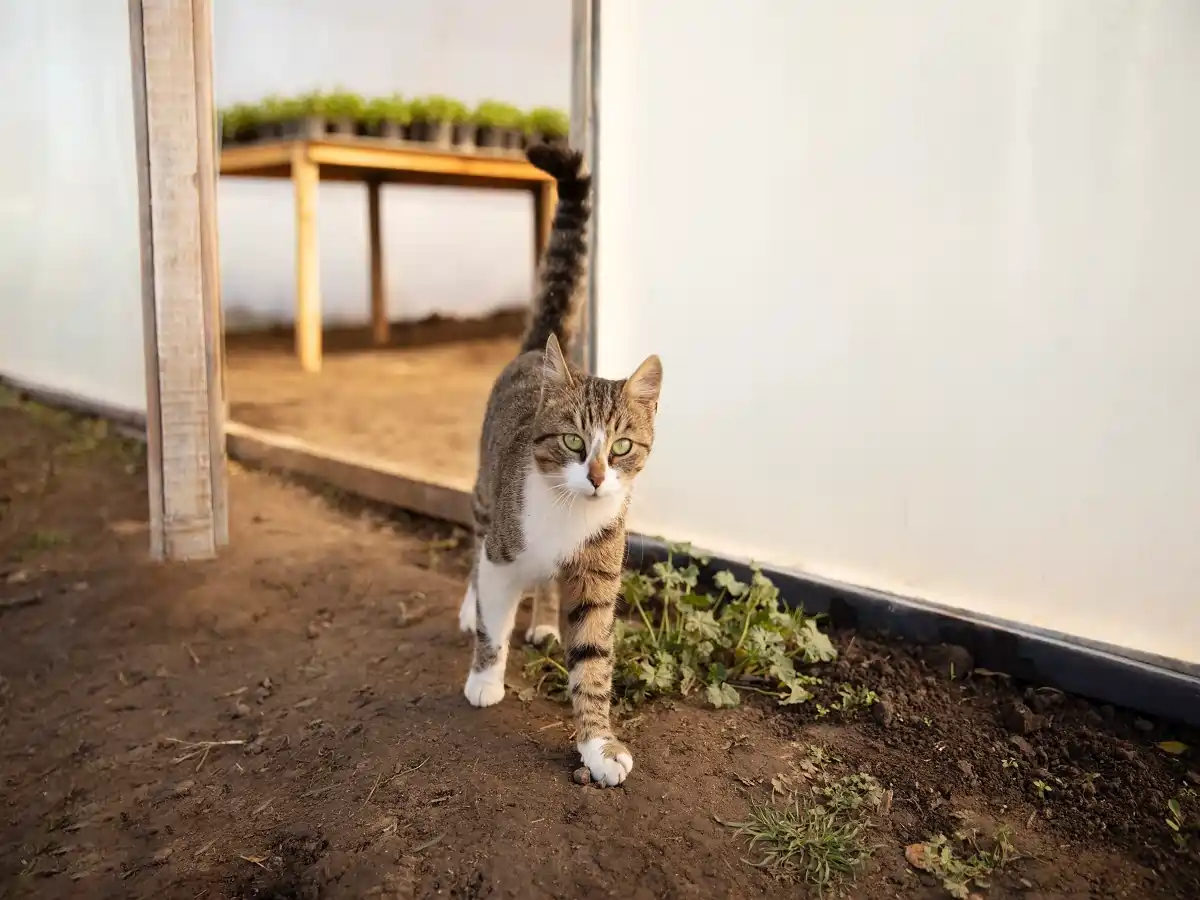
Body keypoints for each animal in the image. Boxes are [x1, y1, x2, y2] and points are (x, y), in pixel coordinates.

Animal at [458, 144, 667, 787]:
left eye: (621, 447)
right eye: (574, 441)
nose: (597, 476)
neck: (566, 511)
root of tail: (536, 350)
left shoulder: (598, 574)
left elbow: (593, 661)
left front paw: (599, 745)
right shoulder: (502, 555)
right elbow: (492, 622)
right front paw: (484, 677)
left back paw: (547, 620)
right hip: (485, 496)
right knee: (475, 552)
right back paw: (470, 605)